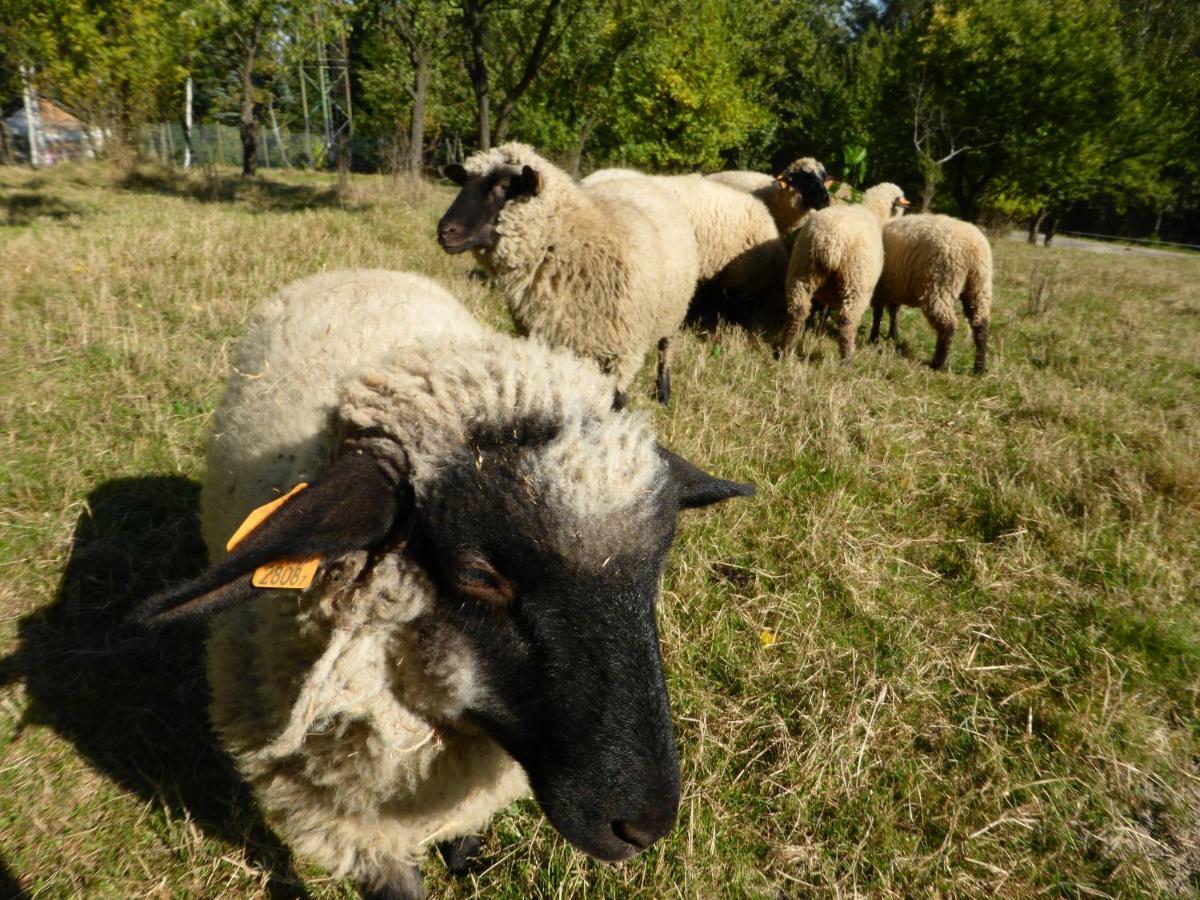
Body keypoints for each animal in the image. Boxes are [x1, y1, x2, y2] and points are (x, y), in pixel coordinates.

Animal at [131, 270, 748, 900]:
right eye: (478, 576)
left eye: (657, 566)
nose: (644, 826)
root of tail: (357, 271)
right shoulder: (348, 823)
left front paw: (463, 852)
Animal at [436, 145, 700, 408]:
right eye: (464, 182)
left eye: (503, 185)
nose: (444, 231)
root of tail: (637, 177)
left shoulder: (624, 352)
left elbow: (616, 401)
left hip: (672, 315)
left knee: (665, 350)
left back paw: (663, 393)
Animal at [777, 181, 907, 362]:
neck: (873, 212)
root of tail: (831, 243)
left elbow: (825, 311)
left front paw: (819, 330)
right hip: (855, 283)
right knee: (847, 321)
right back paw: (847, 359)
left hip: (802, 270)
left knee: (797, 309)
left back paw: (784, 350)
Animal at [873, 213, 993, 374]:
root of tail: (972, 248)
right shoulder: (894, 286)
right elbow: (893, 312)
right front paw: (893, 335)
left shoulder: (879, 288)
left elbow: (878, 314)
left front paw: (873, 338)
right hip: (979, 286)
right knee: (981, 325)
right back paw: (979, 367)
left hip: (940, 285)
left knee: (948, 325)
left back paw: (937, 364)